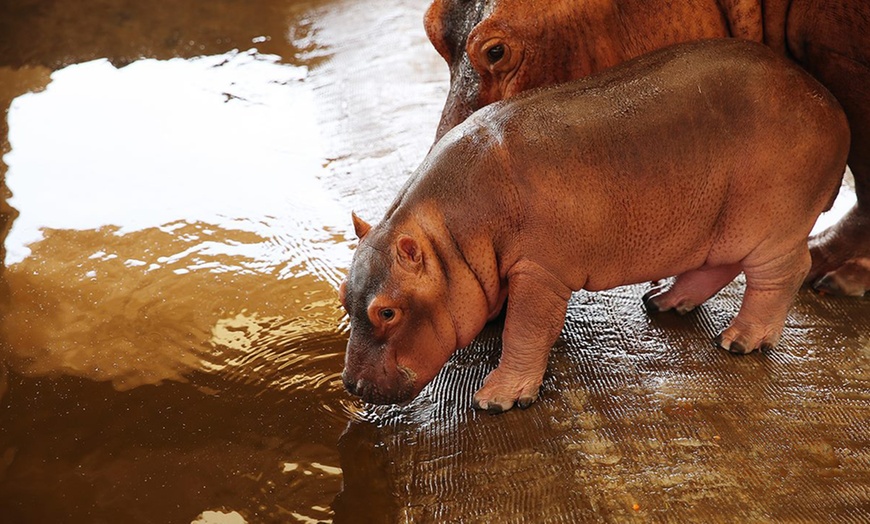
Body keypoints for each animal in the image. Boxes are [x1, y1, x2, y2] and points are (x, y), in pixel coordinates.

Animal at [340, 39, 852, 412]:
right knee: (718, 266)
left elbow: (525, 330)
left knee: (783, 272)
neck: (448, 235)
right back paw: (664, 301)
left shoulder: (540, 272)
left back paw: (740, 341)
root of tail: (830, 102)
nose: (351, 386)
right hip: (718, 223)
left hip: (771, 225)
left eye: (387, 312)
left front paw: (496, 399)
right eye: (344, 299)